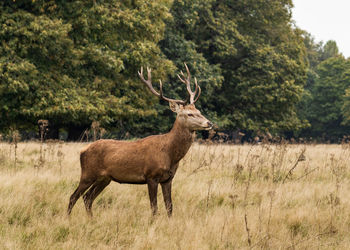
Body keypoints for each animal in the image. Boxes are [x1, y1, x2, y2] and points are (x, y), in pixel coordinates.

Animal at [66, 64, 212, 217]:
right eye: (189, 114)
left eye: (199, 111)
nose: (209, 123)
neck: (170, 155)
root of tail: (83, 150)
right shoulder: (151, 175)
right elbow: (154, 208)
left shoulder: (168, 179)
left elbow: (169, 207)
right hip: (88, 173)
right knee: (74, 196)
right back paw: (68, 219)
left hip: (105, 178)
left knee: (87, 198)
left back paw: (91, 219)